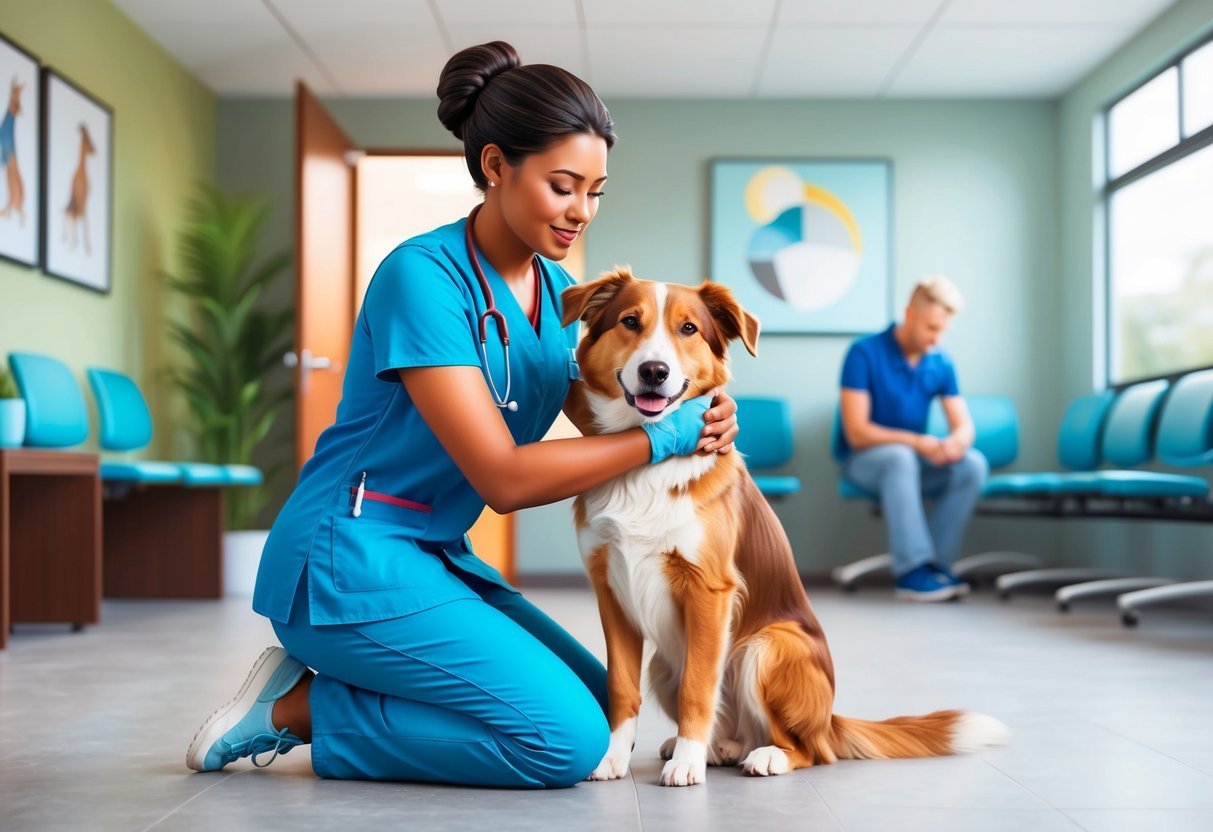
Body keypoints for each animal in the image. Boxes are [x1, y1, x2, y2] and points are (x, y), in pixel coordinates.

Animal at [562, 269, 1009, 790]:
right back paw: (718, 747)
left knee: (811, 750)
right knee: (736, 731)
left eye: (688, 329)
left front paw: (687, 766)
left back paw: (760, 755)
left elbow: (698, 687)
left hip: (767, 645)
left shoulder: (710, 590)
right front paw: (613, 757)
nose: (655, 371)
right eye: (630, 322)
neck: (645, 464)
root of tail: (829, 719)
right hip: (663, 665)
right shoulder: (611, 590)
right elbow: (619, 687)